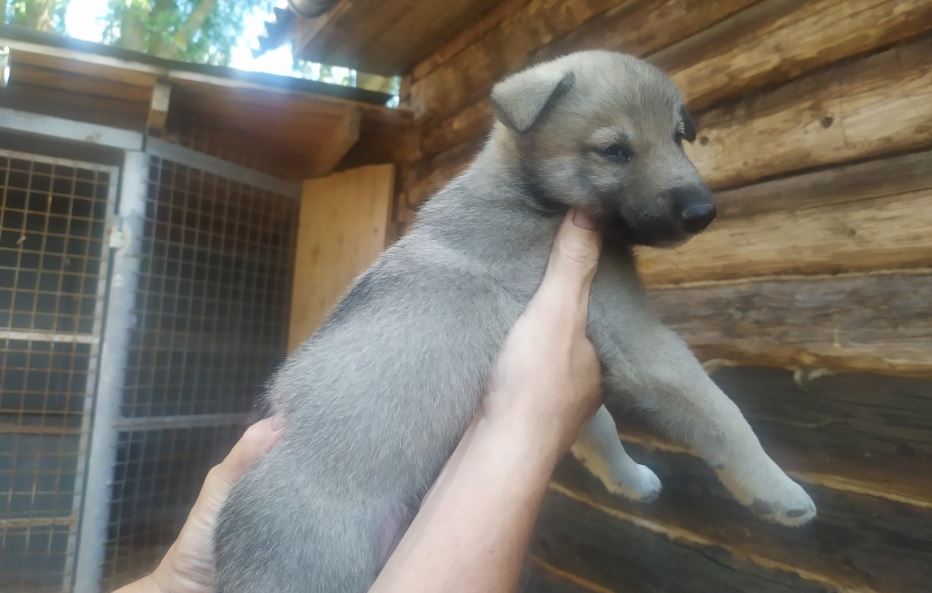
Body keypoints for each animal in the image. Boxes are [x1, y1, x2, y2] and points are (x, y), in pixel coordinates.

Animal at [215, 51, 812, 592]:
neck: (529, 195)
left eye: (678, 138)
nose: (702, 212)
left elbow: (601, 430)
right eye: (614, 150)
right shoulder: (636, 340)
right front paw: (778, 492)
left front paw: (627, 479)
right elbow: (723, 414)